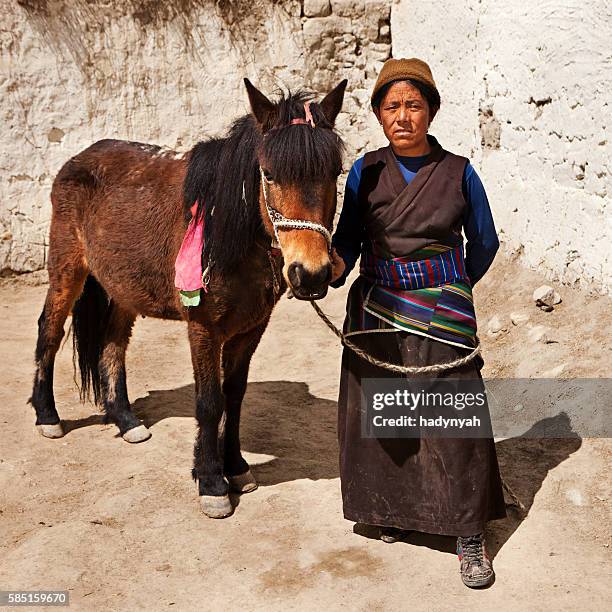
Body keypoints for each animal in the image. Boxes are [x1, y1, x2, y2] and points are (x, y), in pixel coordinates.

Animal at [31, 77, 346, 516]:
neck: (227, 234)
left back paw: (125, 419)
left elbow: (234, 396)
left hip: (123, 287)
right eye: (268, 173)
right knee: (50, 330)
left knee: (112, 344)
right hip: (67, 269)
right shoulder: (203, 328)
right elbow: (209, 401)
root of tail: (77, 159)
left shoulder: (251, 329)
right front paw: (212, 481)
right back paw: (48, 416)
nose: (312, 273)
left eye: (336, 172)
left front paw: (236, 468)